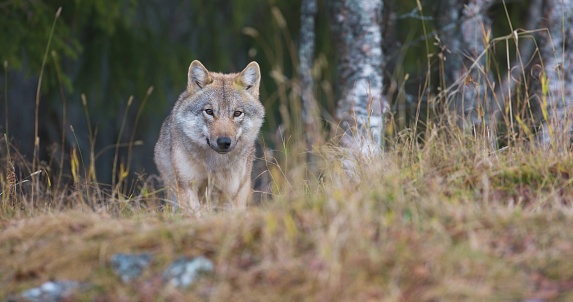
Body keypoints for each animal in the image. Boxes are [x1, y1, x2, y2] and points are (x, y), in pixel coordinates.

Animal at [155, 60, 264, 211]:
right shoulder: (187, 186)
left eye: (237, 113)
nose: (224, 142)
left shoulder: (230, 192)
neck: (214, 164)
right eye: (209, 111)